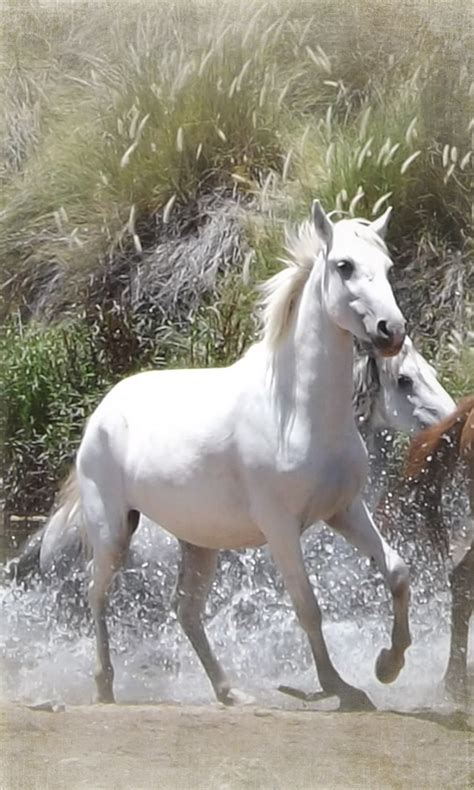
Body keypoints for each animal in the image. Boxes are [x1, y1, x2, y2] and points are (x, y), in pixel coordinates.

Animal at [42, 203, 412, 712]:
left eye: (388, 267)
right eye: (344, 266)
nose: (391, 331)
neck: (296, 408)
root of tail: (105, 408)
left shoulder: (344, 511)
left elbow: (396, 571)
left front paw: (388, 665)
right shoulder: (281, 528)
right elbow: (308, 607)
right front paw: (342, 687)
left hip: (200, 542)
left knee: (186, 612)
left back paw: (229, 691)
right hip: (113, 530)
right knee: (96, 595)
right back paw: (105, 688)